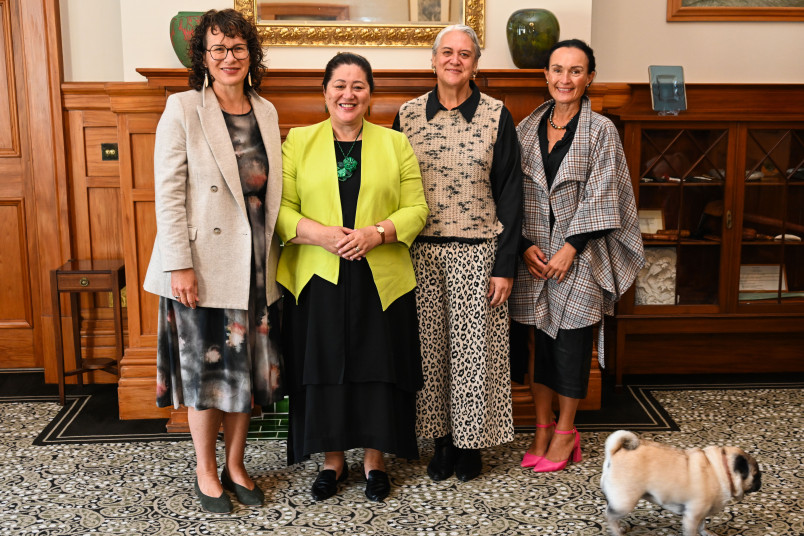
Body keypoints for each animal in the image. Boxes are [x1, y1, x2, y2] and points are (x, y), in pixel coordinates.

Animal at [604, 430, 760, 536]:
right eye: (756, 475)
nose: (760, 482)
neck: (721, 469)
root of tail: (615, 452)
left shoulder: (702, 513)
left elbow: (702, 525)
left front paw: (706, 532)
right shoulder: (692, 516)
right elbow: (692, 531)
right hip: (625, 503)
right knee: (610, 515)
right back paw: (617, 531)